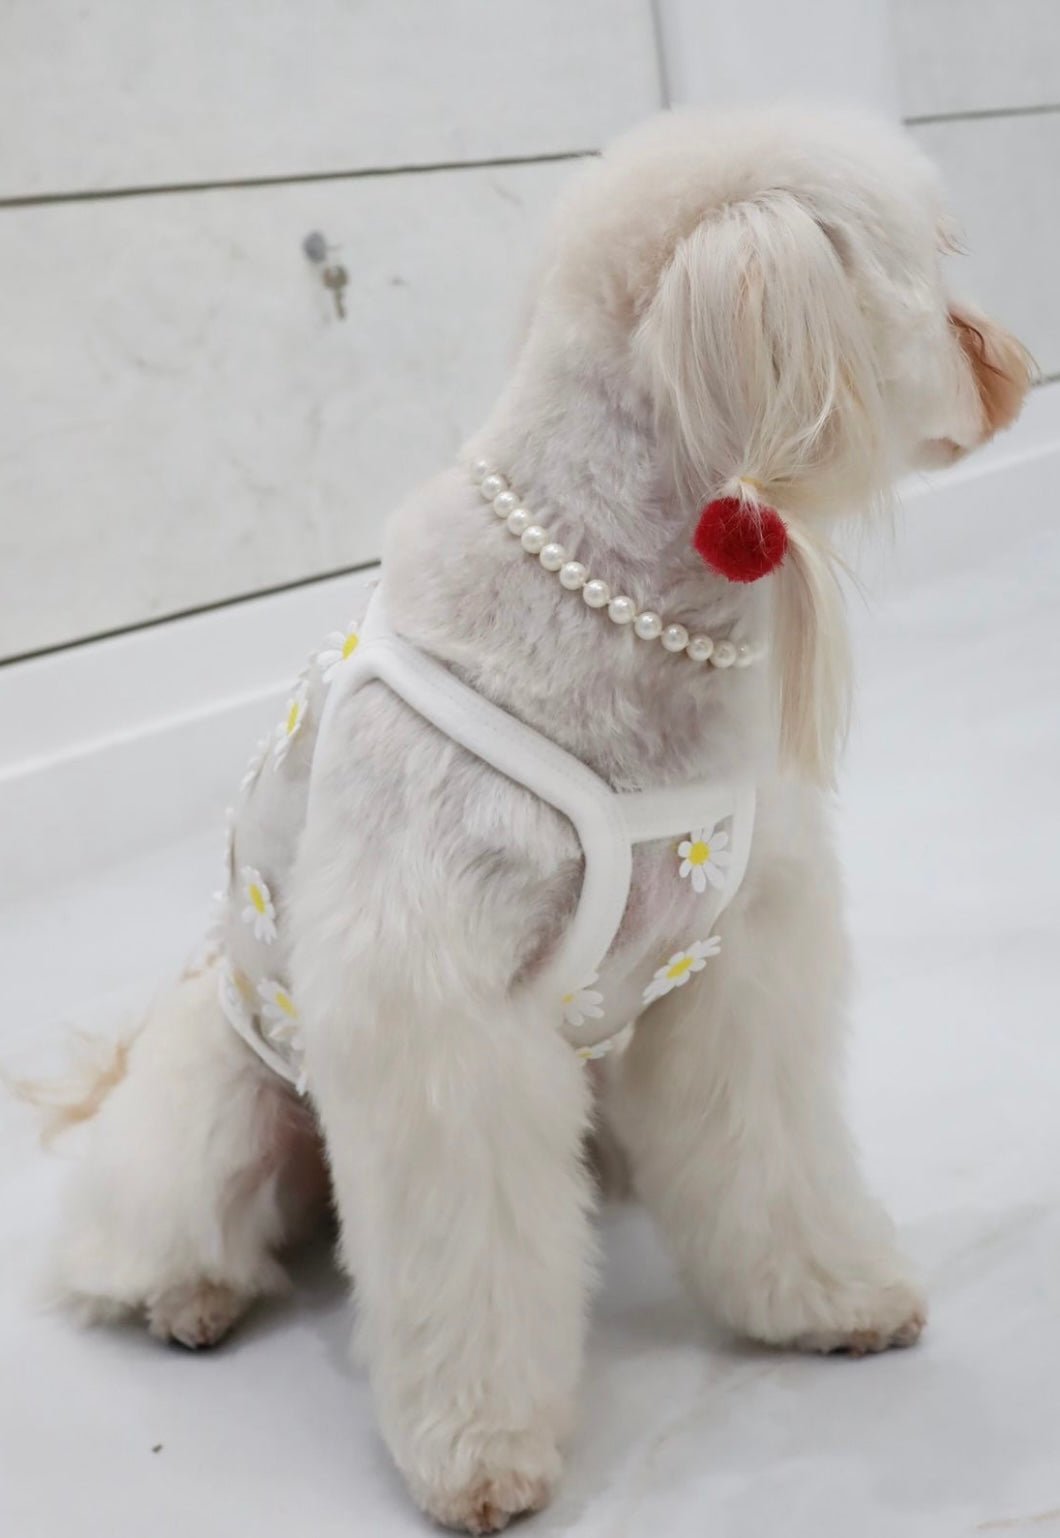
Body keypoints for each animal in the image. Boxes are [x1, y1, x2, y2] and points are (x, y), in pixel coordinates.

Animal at [46, 107, 1031, 1533]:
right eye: (932, 257)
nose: (1010, 361)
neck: (619, 599)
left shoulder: (733, 977)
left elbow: (773, 1161)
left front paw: (827, 1298)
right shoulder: (441, 1021)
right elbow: (471, 1257)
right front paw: (478, 1453)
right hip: (215, 1100)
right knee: (149, 1227)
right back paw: (192, 1293)